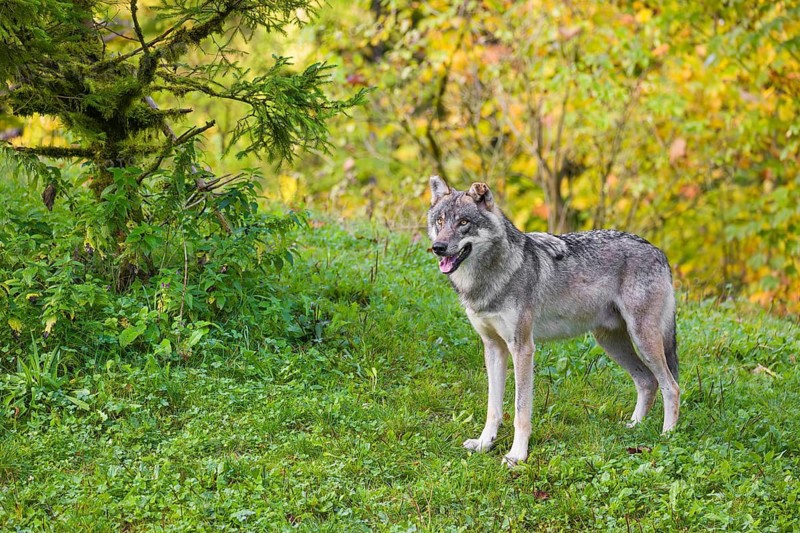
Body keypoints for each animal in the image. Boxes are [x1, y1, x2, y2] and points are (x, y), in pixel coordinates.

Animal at [427, 176, 679, 466]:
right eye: (440, 221)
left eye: (464, 222)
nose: (438, 248)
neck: (490, 278)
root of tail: (658, 251)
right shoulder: (493, 348)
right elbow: (493, 408)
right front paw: (484, 444)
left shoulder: (523, 349)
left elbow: (520, 411)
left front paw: (517, 455)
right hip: (611, 343)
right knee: (648, 381)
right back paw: (634, 427)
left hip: (643, 340)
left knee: (671, 386)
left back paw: (667, 436)